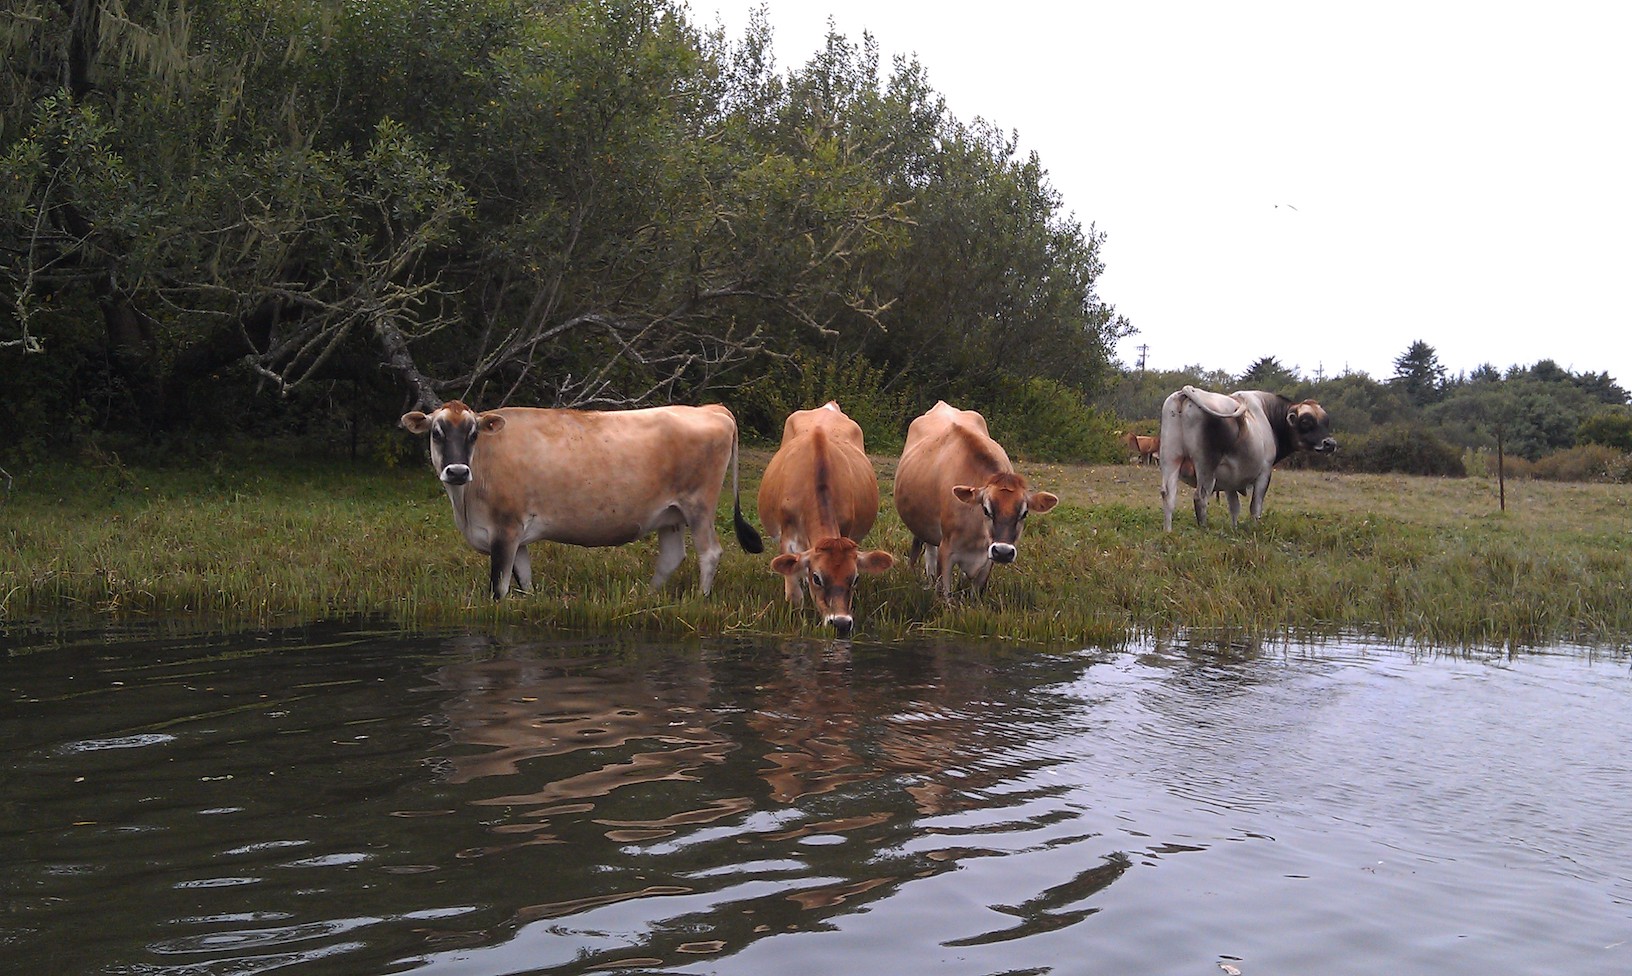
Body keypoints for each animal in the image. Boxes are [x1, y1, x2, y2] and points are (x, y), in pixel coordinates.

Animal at [401, 401, 762, 599]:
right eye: (437, 432)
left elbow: (498, 588)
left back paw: (700, 597)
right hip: (670, 514)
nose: (457, 471)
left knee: (709, 553)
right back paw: (645, 597)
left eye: (473, 433)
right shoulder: (518, 538)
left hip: (700, 506)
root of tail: (711, 409)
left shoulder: (505, 530)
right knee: (672, 557)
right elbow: (525, 581)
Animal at [893, 401, 1059, 598]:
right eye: (986, 509)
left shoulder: (987, 558)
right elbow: (945, 594)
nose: (1003, 552)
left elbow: (974, 595)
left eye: (1024, 513)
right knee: (928, 552)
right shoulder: (946, 551)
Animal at [1158, 385, 1336, 531]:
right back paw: (1203, 530)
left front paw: (1235, 530)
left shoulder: (1230, 478)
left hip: (1171, 458)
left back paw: (1168, 531)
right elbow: (1255, 506)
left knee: (1168, 495)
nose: (1330, 443)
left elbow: (1234, 507)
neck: (1266, 414)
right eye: (1306, 422)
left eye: (1326, 421)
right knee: (1200, 497)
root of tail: (1186, 392)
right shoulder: (1264, 472)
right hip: (1206, 467)